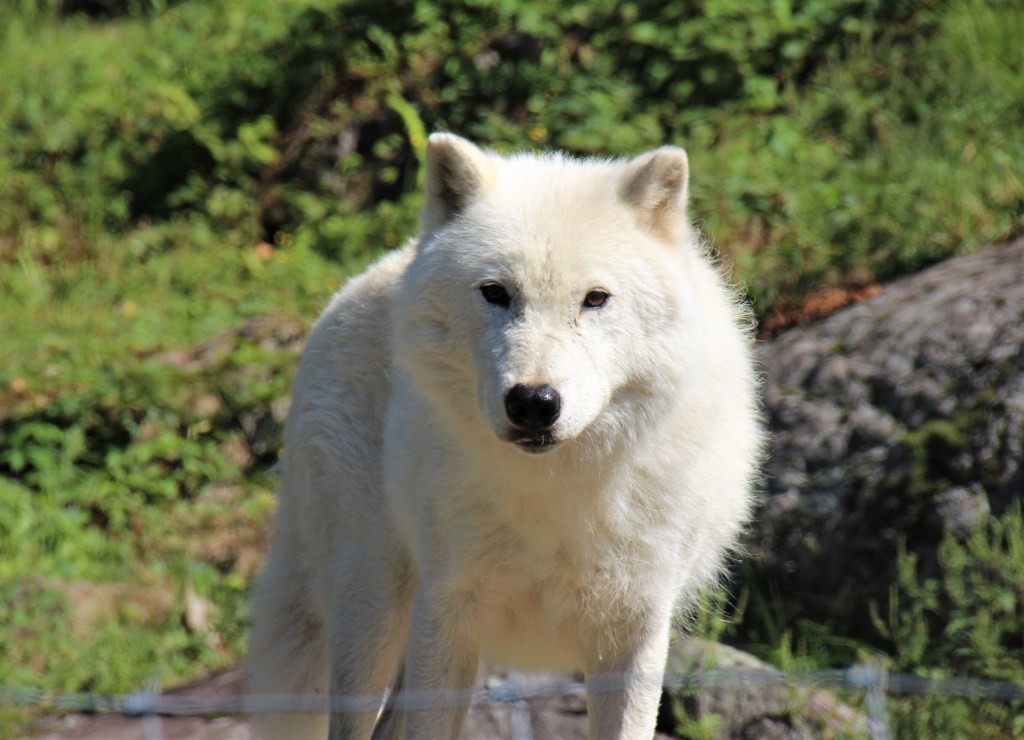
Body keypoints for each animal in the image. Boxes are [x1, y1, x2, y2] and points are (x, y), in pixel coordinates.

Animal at [248, 133, 763, 739]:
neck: (553, 495)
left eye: (595, 298)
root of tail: (366, 275)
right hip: (371, 611)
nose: (534, 402)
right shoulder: (446, 610)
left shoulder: (635, 629)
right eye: (495, 293)